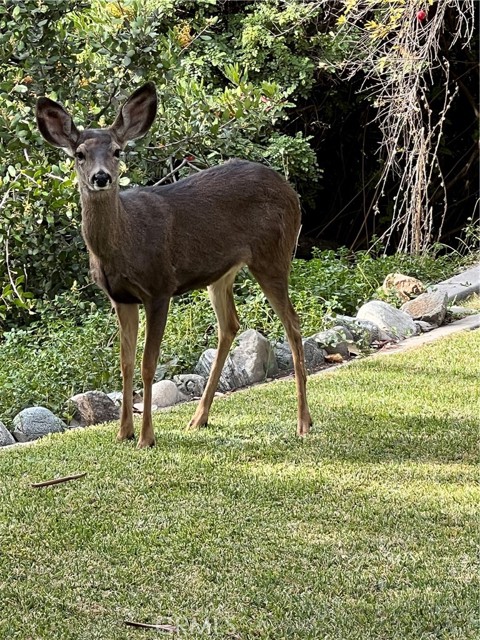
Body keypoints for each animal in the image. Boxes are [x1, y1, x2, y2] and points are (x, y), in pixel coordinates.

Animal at [33, 82, 312, 448]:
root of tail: (291, 191)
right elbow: (125, 363)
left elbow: (148, 364)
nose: (101, 177)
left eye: (117, 151)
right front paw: (123, 432)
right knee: (230, 324)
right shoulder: (120, 297)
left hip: (272, 254)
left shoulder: (159, 287)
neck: (124, 243)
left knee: (292, 323)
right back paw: (198, 418)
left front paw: (146, 437)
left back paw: (304, 422)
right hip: (222, 272)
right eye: (79, 153)